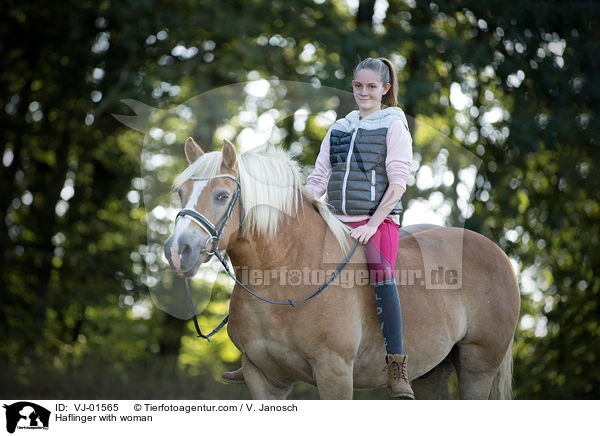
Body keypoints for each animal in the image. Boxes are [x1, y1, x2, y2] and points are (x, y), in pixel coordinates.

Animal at [164, 138, 520, 400]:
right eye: (181, 192)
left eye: (222, 196)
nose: (178, 251)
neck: (284, 276)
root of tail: (498, 254)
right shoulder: (262, 378)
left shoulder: (333, 372)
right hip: (433, 372)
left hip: (478, 365)